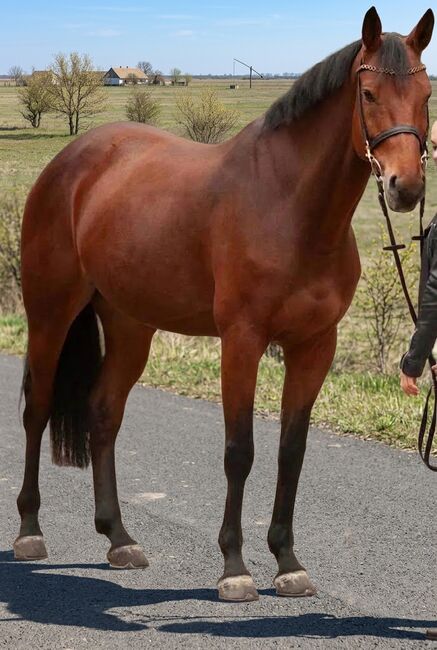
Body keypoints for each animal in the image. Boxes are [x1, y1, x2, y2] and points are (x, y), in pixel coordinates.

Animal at [15, 7, 434, 602]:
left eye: (426, 92)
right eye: (369, 92)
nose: (406, 187)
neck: (290, 206)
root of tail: (67, 162)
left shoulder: (315, 346)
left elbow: (291, 452)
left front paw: (287, 561)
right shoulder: (242, 341)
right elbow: (240, 451)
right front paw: (235, 567)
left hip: (129, 325)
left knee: (103, 414)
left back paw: (119, 538)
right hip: (51, 312)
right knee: (37, 409)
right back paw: (30, 531)